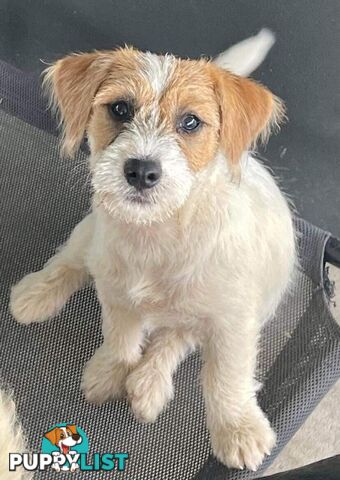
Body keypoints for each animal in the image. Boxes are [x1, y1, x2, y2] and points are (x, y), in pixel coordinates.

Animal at [8, 31, 294, 472]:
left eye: (190, 122)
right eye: (120, 109)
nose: (141, 171)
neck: (160, 234)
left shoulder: (233, 322)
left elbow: (226, 377)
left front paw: (239, 429)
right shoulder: (115, 290)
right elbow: (122, 339)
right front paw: (110, 370)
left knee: (175, 338)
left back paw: (150, 383)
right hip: (90, 233)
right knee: (71, 259)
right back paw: (38, 294)